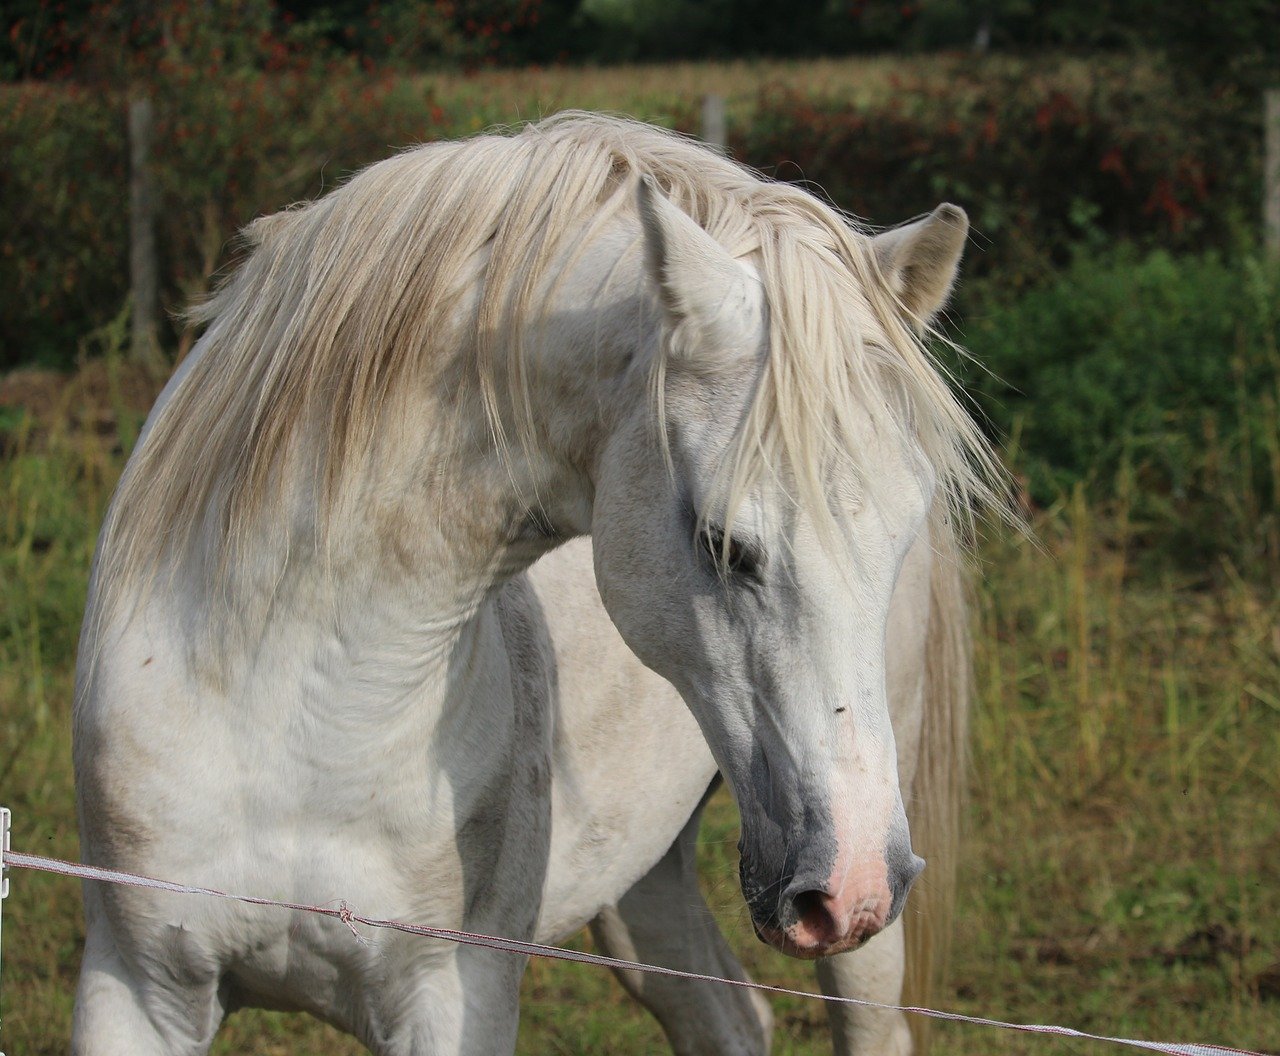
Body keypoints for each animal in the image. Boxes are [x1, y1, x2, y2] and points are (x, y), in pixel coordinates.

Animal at [72, 111, 998, 1049]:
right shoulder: (138, 988)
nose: (851, 883)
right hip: (646, 878)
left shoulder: (453, 997)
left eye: (903, 532)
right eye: (724, 543)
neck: (292, 711)